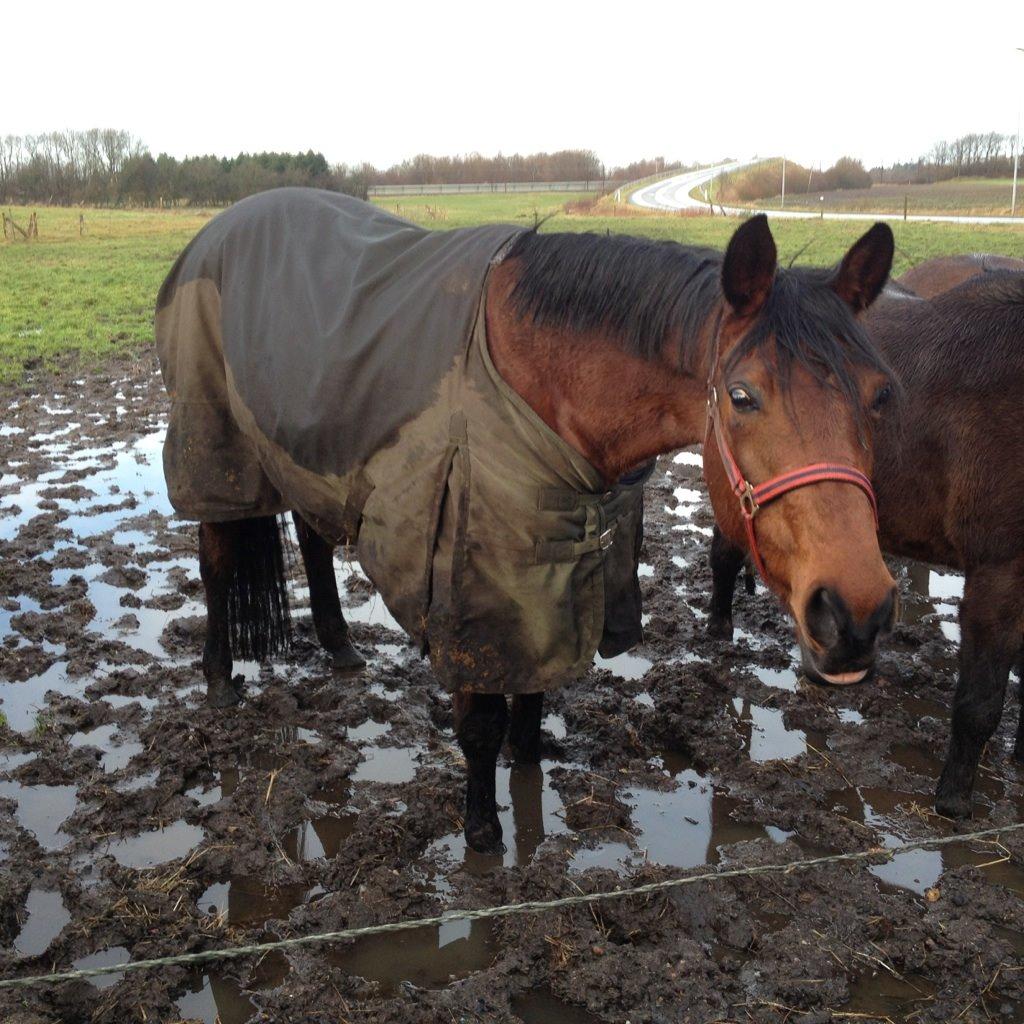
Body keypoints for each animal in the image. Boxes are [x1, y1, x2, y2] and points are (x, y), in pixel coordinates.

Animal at [157, 193, 897, 856]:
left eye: (880, 394)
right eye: (743, 396)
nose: (856, 612)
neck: (537, 382)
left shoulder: (548, 572)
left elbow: (534, 692)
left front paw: (528, 762)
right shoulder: (468, 585)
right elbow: (480, 722)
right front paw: (483, 832)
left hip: (306, 456)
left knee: (312, 542)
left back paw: (340, 648)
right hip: (219, 449)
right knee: (217, 564)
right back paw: (219, 680)